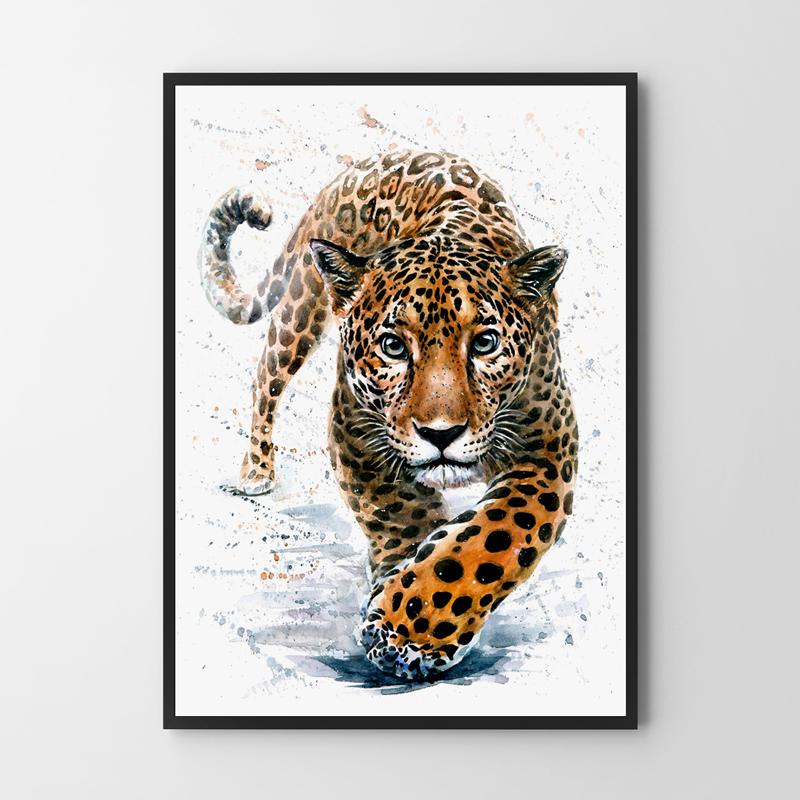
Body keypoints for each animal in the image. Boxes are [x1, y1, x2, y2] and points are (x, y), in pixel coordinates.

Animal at [197, 149, 578, 680]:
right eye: (393, 346)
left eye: (485, 343)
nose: (441, 433)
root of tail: (376, 158)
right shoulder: (356, 433)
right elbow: (402, 516)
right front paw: (404, 619)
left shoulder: (547, 450)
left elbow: (491, 538)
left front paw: (411, 628)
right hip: (300, 308)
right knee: (266, 377)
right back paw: (256, 470)